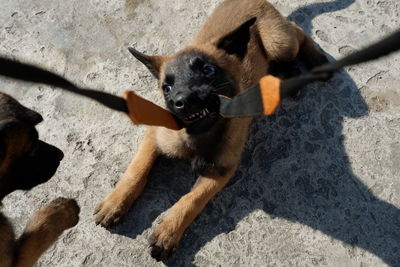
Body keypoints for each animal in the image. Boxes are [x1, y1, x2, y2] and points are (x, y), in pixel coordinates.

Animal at [94, 0, 328, 262]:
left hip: (278, 43)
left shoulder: (221, 170)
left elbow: (192, 199)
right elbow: (137, 169)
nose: (183, 101)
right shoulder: (155, 135)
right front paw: (116, 202)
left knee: (297, 31)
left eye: (207, 70)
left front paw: (169, 231)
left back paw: (314, 62)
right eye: (167, 87)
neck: (197, 134)